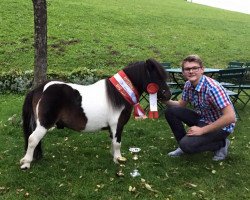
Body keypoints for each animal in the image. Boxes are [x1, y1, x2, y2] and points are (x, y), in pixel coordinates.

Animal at [20, 58, 172, 170]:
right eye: (156, 76)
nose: (168, 95)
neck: (119, 94)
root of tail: (39, 89)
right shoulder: (117, 125)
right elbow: (117, 143)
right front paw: (119, 160)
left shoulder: (112, 127)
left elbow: (113, 142)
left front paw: (114, 157)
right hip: (44, 124)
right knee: (32, 139)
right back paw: (26, 163)